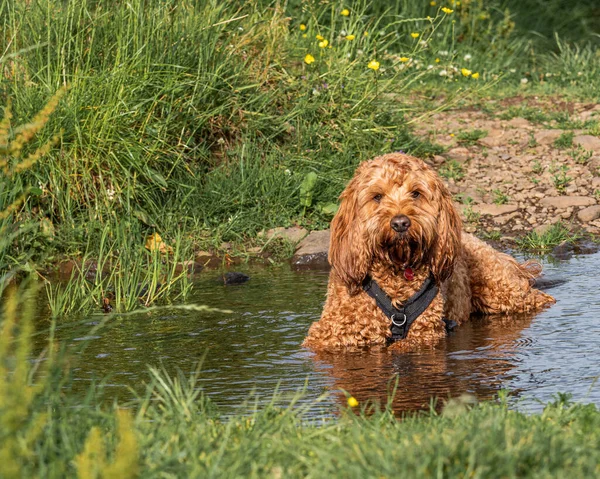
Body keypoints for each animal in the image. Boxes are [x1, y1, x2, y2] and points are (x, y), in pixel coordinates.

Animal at [302, 154, 556, 352]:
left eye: (416, 193)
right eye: (377, 196)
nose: (400, 223)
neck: (395, 272)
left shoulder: (425, 335)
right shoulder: (327, 335)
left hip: (503, 292)